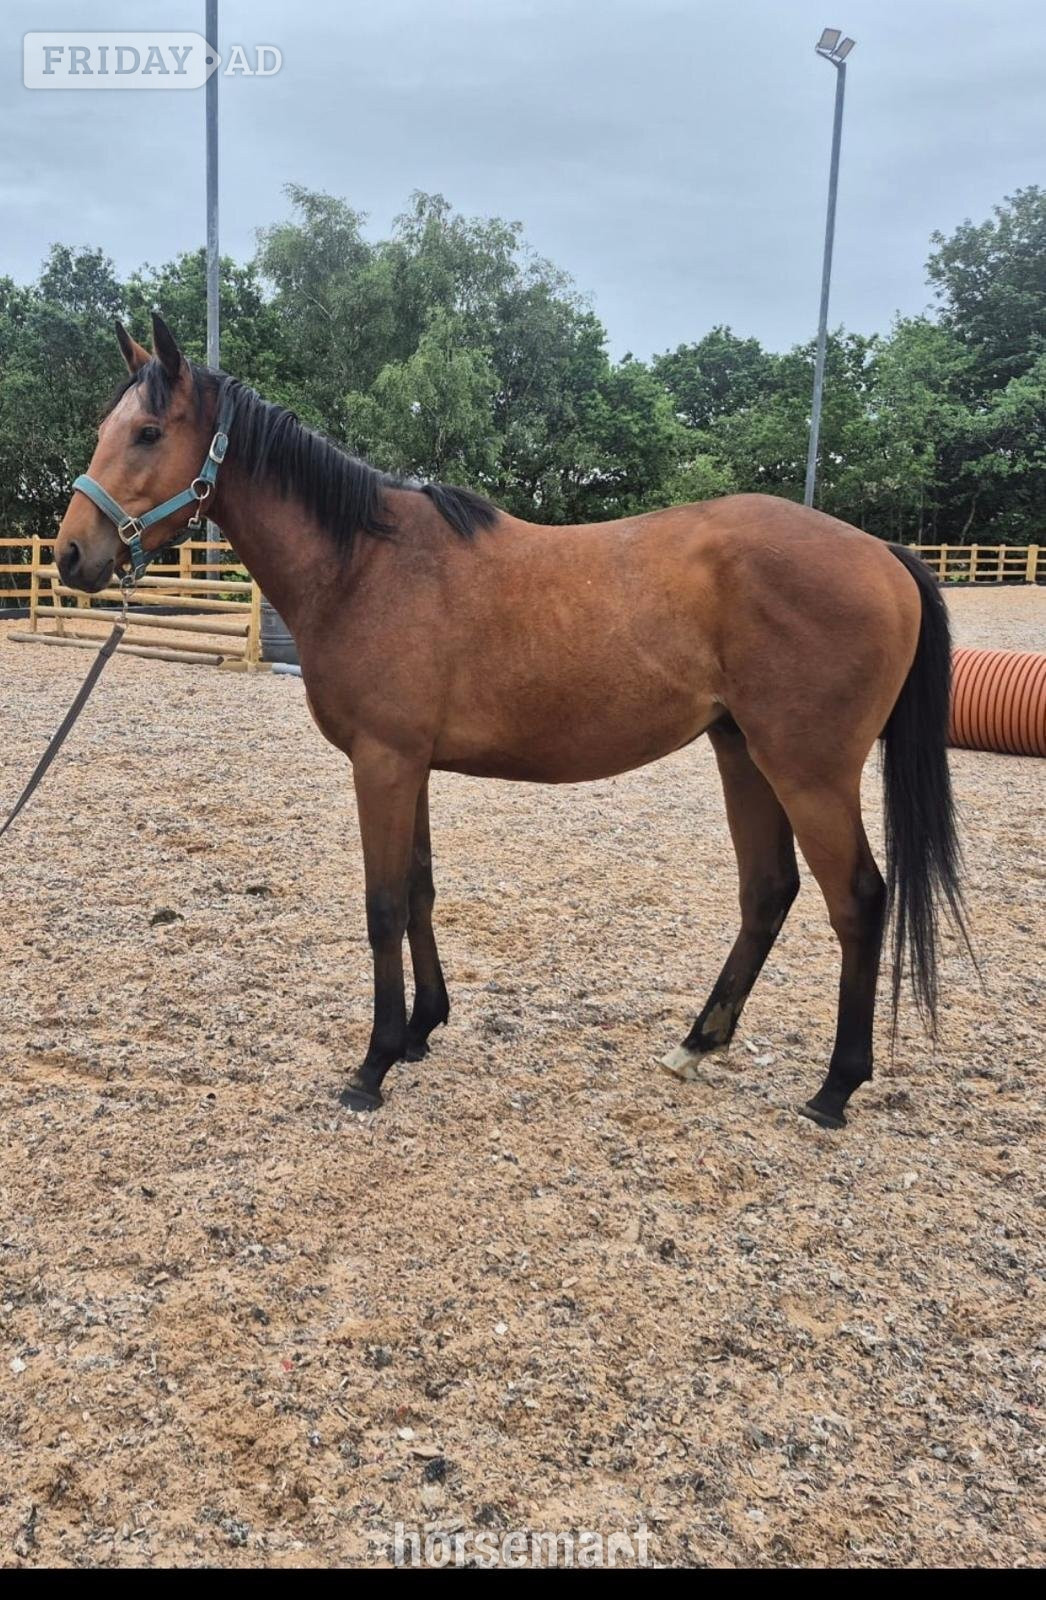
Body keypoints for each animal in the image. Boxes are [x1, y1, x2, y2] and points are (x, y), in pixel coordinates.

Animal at [53, 314, 970, 1129]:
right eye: (106, 429)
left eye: (147, 432)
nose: (70, 555)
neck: (366, 564)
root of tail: (883, 552)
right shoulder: (407, 762)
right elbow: (420, 891)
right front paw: (422, 1030)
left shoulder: (383, 762)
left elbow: (383, 904)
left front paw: (374, 1064)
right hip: (743, 750)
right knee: (768, 890)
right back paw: (698, 1043)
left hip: (809, 770)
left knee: (858, 901)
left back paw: (836, 1087)